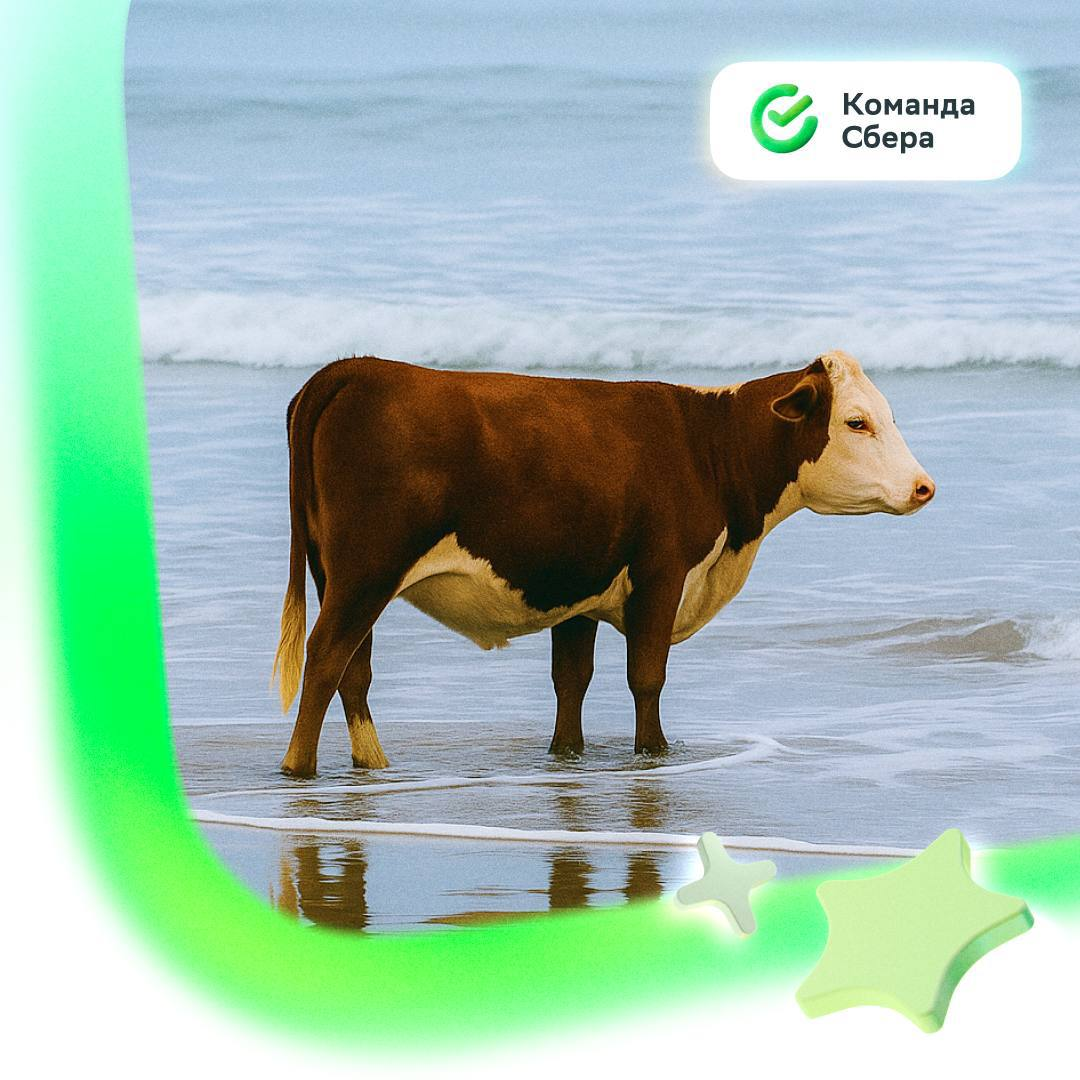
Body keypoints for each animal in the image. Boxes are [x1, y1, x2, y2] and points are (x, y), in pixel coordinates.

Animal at [272, 350, 934, 777]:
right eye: (856, 421)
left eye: (889, 417)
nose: (923, 486)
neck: (706, 447)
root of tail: (356, 368)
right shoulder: (662, 573)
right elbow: (647, 677)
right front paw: (654, 753)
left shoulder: (581, 589)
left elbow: (572, 680)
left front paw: (567, 756)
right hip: (367, 569)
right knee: (326, 657)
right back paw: (299, 768)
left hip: (336, 572)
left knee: (354, 669)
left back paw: (372, 764)